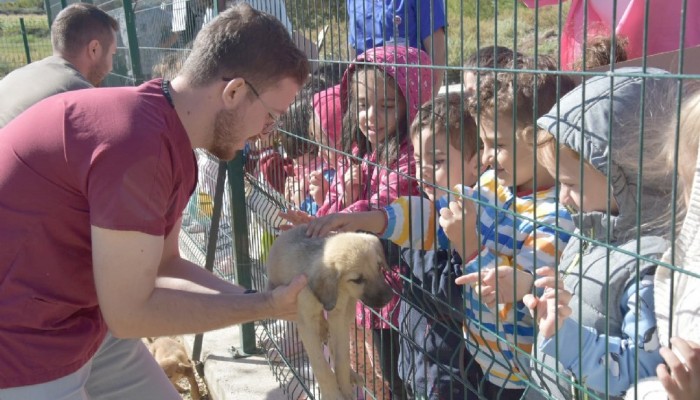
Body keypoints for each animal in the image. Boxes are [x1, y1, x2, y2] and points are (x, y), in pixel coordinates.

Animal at [266, 225, 392, 400]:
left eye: (379, 267)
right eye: (357, 280)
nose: (389, 298)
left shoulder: (338, 315)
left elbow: (341, 360)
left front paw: (346, 390)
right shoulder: (306, 323)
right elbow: (322, 367)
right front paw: (333, 394)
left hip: (348, 310)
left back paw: (351, 372)